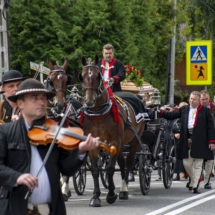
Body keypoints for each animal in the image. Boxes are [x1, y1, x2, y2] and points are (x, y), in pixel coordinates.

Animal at [78, 55, 145, 207]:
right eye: (82, 76)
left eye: (98, 76)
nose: (89, 102)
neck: (99, 113)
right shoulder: (94, 143)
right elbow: (96, 170)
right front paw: (96, 197)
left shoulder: (115, 141)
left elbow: (109, 168)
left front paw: (110, 195)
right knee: (122, 163)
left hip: (134, 140)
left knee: (129, 163)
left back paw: (124, 190)